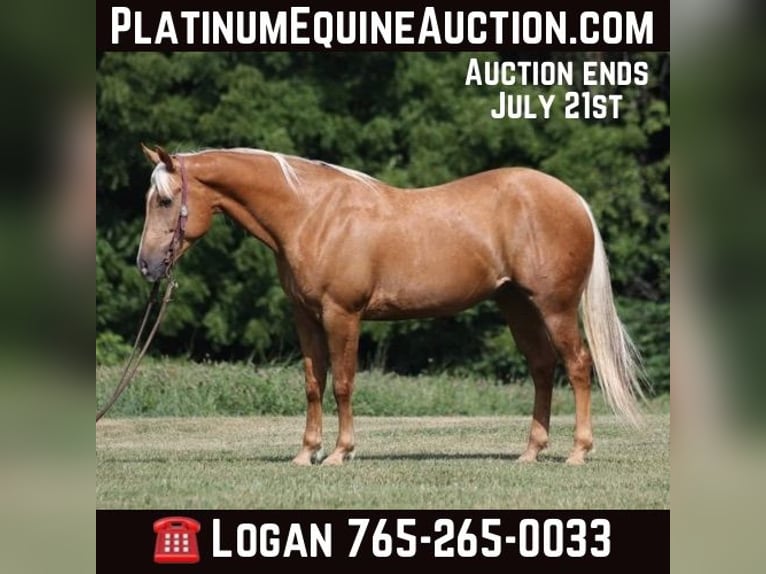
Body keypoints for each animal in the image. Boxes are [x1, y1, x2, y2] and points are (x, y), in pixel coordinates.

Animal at [137, 143, 645, 466]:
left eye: (165, 200)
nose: (146, 264)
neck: (311, 213)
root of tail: (572, 198)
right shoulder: (305, 317)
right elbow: (313, 384)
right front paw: (305, 453)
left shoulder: (342, 314)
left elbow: (342, 383)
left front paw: (340, 453)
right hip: (516, 304)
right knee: (542, 367)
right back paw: (531, 452)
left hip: (554, 306)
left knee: (577, 366)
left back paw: (578, 451)